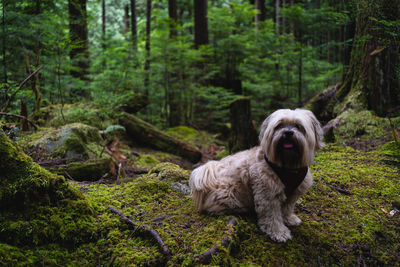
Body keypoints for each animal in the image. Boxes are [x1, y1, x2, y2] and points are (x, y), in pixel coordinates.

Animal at [189, 108, 324, 243]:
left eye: (298, 126)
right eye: (279, 126)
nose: (288, 132)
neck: (287, 166)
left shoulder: (293, 193)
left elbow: (287, 208)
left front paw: (289, 219)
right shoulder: (268, 193)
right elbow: (272, 215)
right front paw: (278, 232)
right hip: (229, 192)